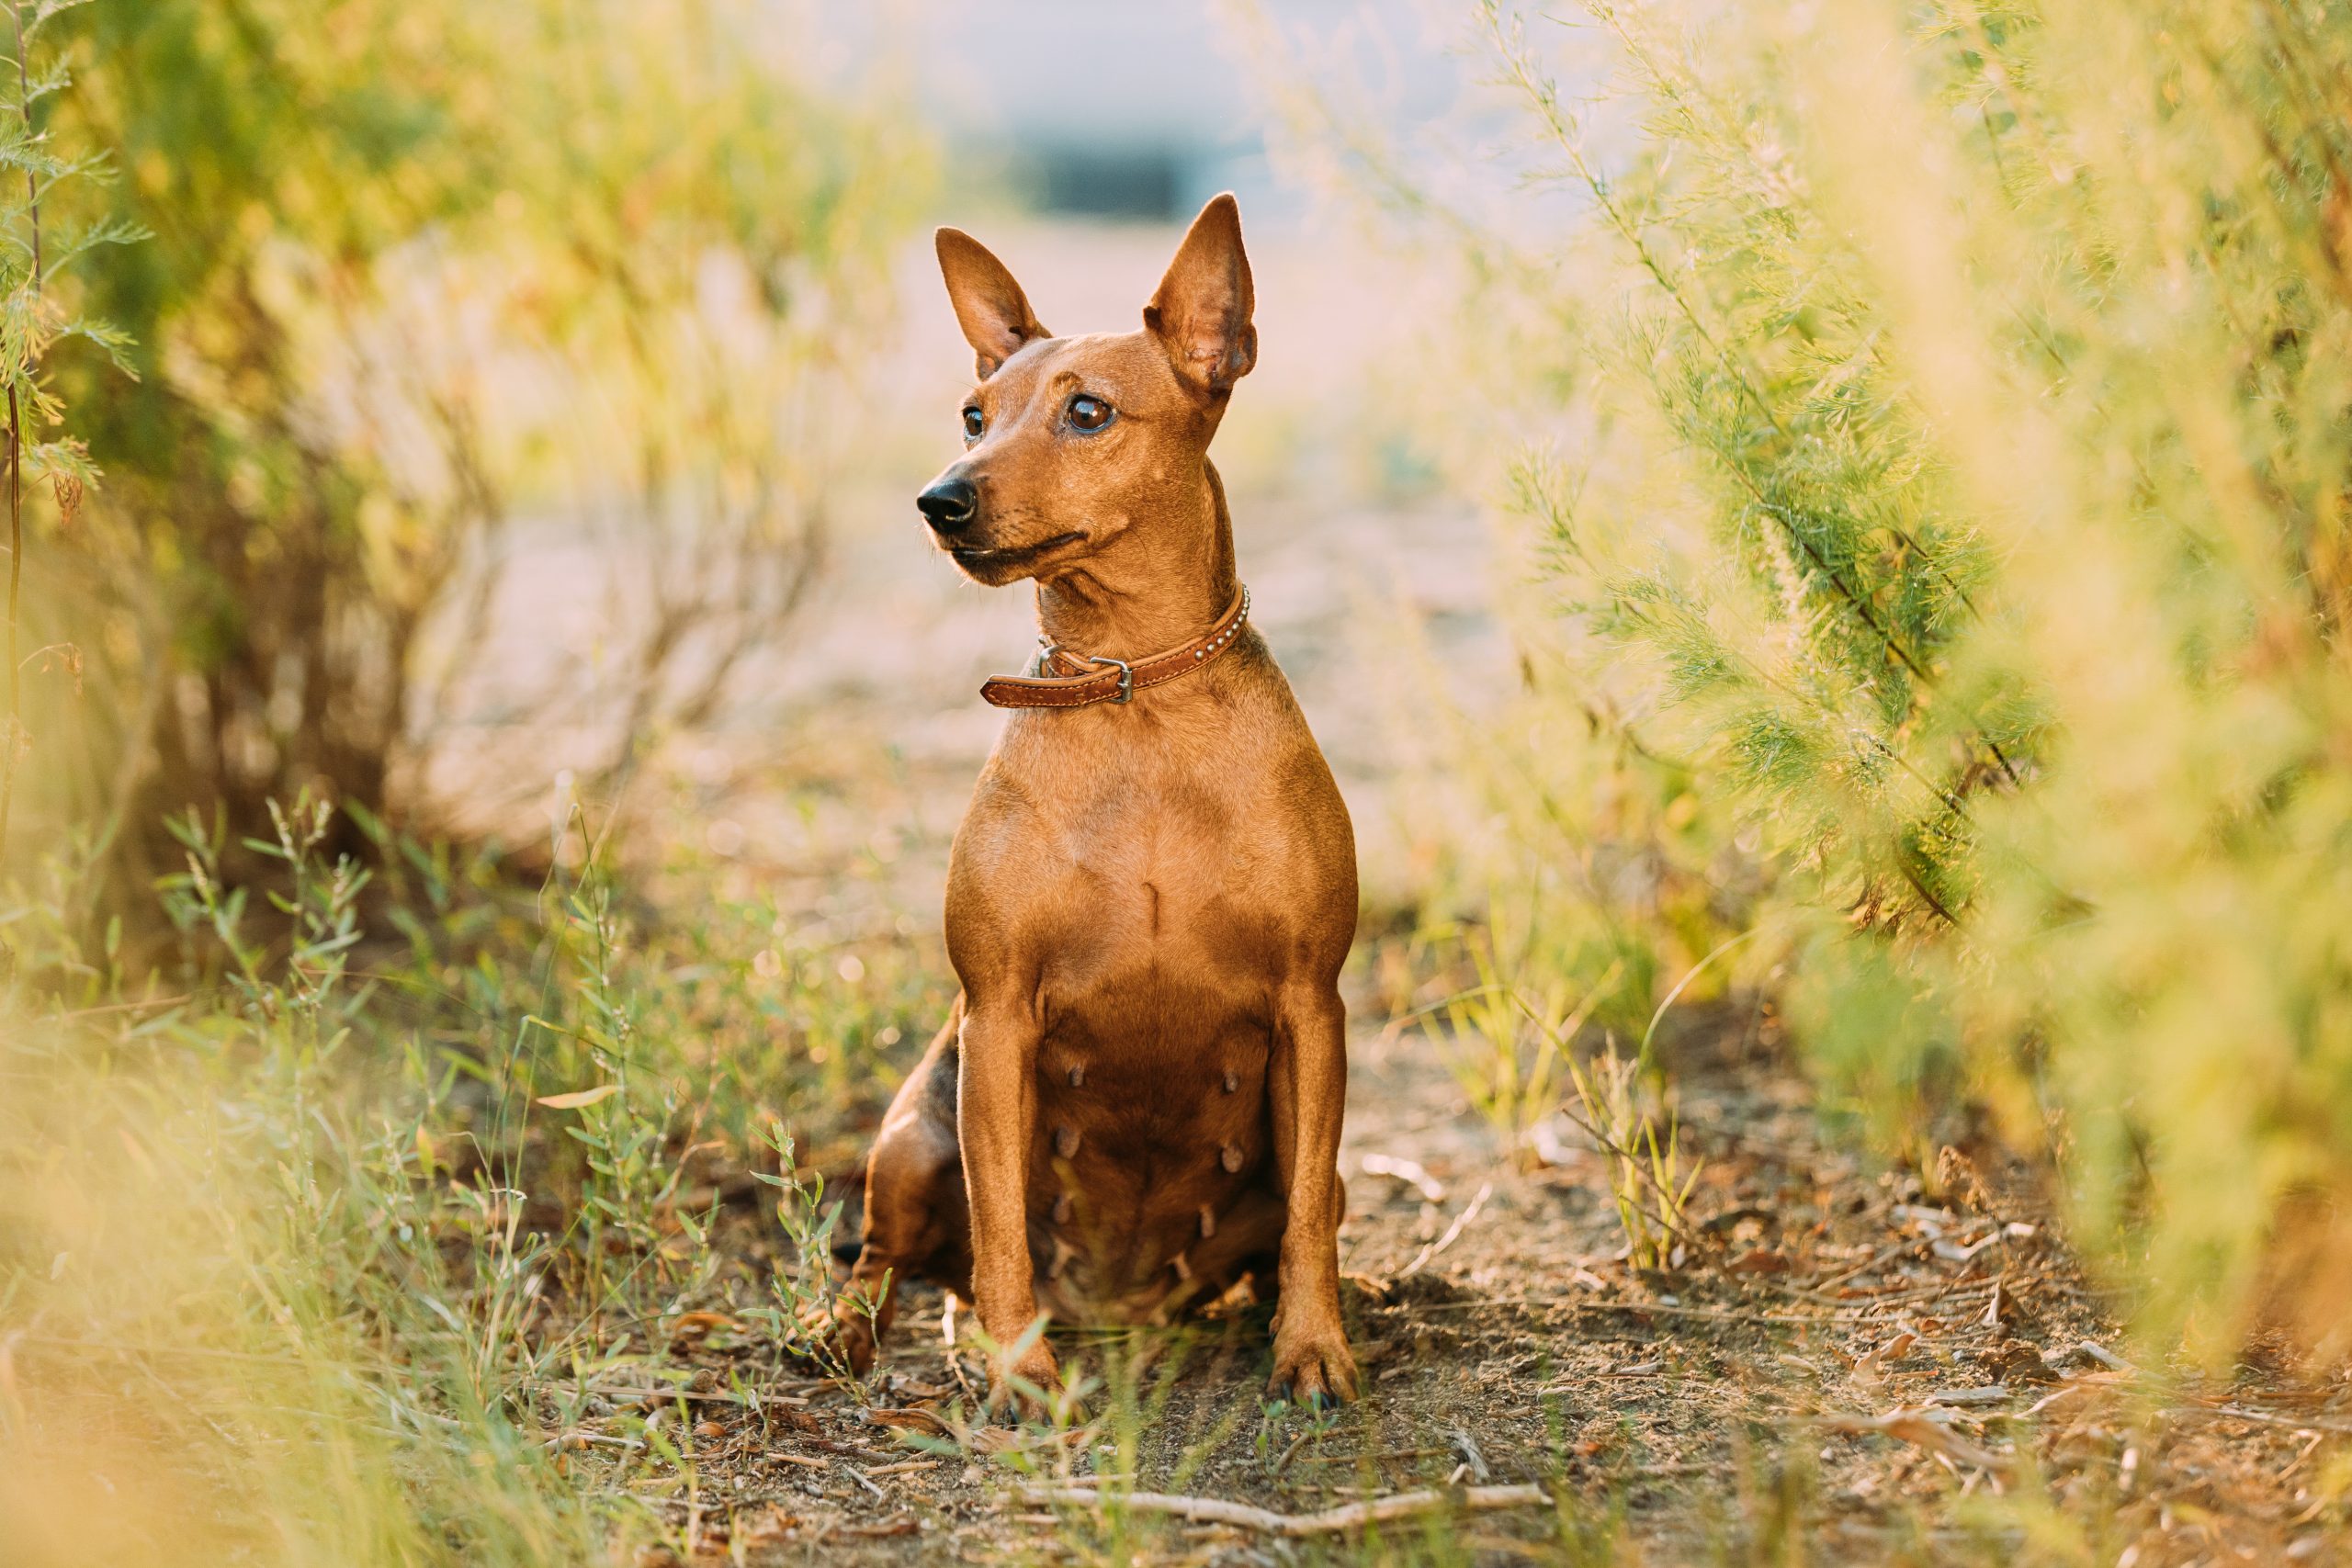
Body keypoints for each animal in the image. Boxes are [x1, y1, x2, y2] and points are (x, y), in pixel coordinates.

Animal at [837, 192, 1363, 1410]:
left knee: (1301, 1220)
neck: (1134, 695)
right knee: (886, 1258)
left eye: (1089, 412)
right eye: (972, 416)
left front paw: (1313, 1348)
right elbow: (999, 1228)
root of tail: (1119, 1307)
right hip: (913, 1130)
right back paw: (847, 1330)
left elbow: (1304, 1222)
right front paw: (1015, 1372)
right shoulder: (995, 1018)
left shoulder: (1313, 1008)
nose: (940, 500)